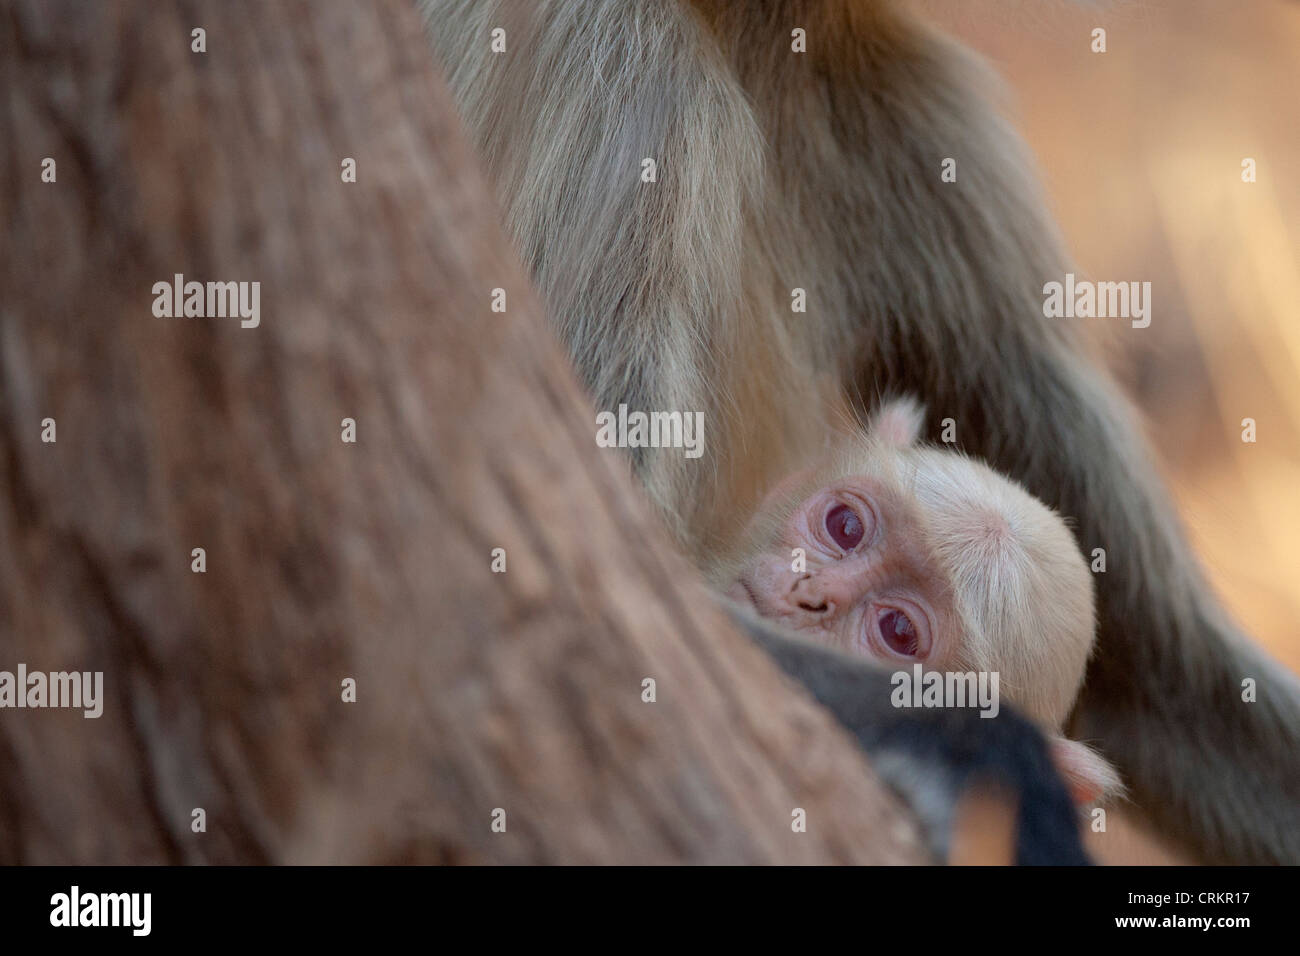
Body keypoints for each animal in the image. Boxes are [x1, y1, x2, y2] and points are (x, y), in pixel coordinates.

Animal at [421, 0, 1300, 863]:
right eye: (843, 526)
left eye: (898, 631)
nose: (810, 593)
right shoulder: (622, 57)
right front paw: (995, 761)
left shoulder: (914, 98)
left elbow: (1151, 685)